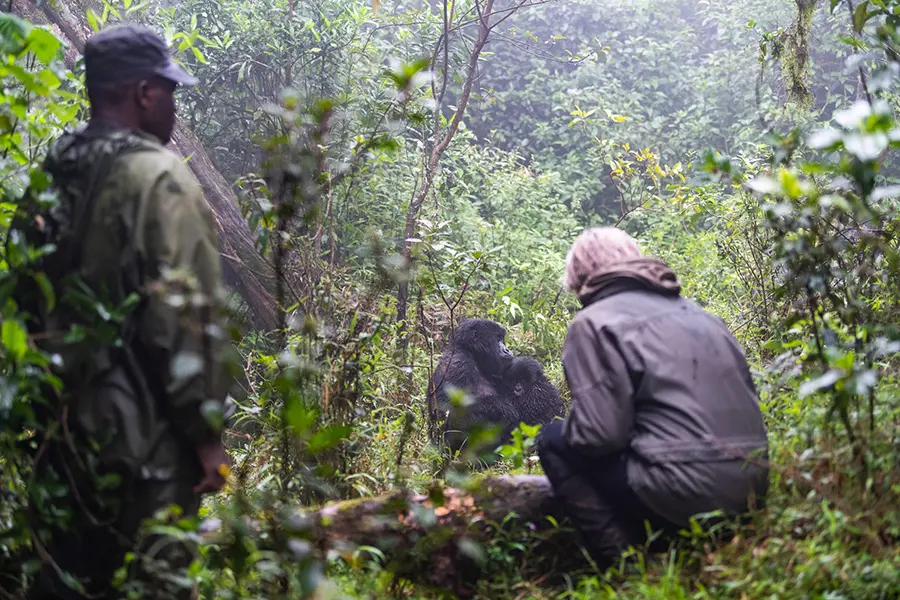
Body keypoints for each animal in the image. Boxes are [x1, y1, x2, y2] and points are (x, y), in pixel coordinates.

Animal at [430, 316, 516, 452]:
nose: (507, 350)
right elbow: (447, 416)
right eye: (497, 339)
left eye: (502, 339)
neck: (474, 356)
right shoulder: (458, 365)